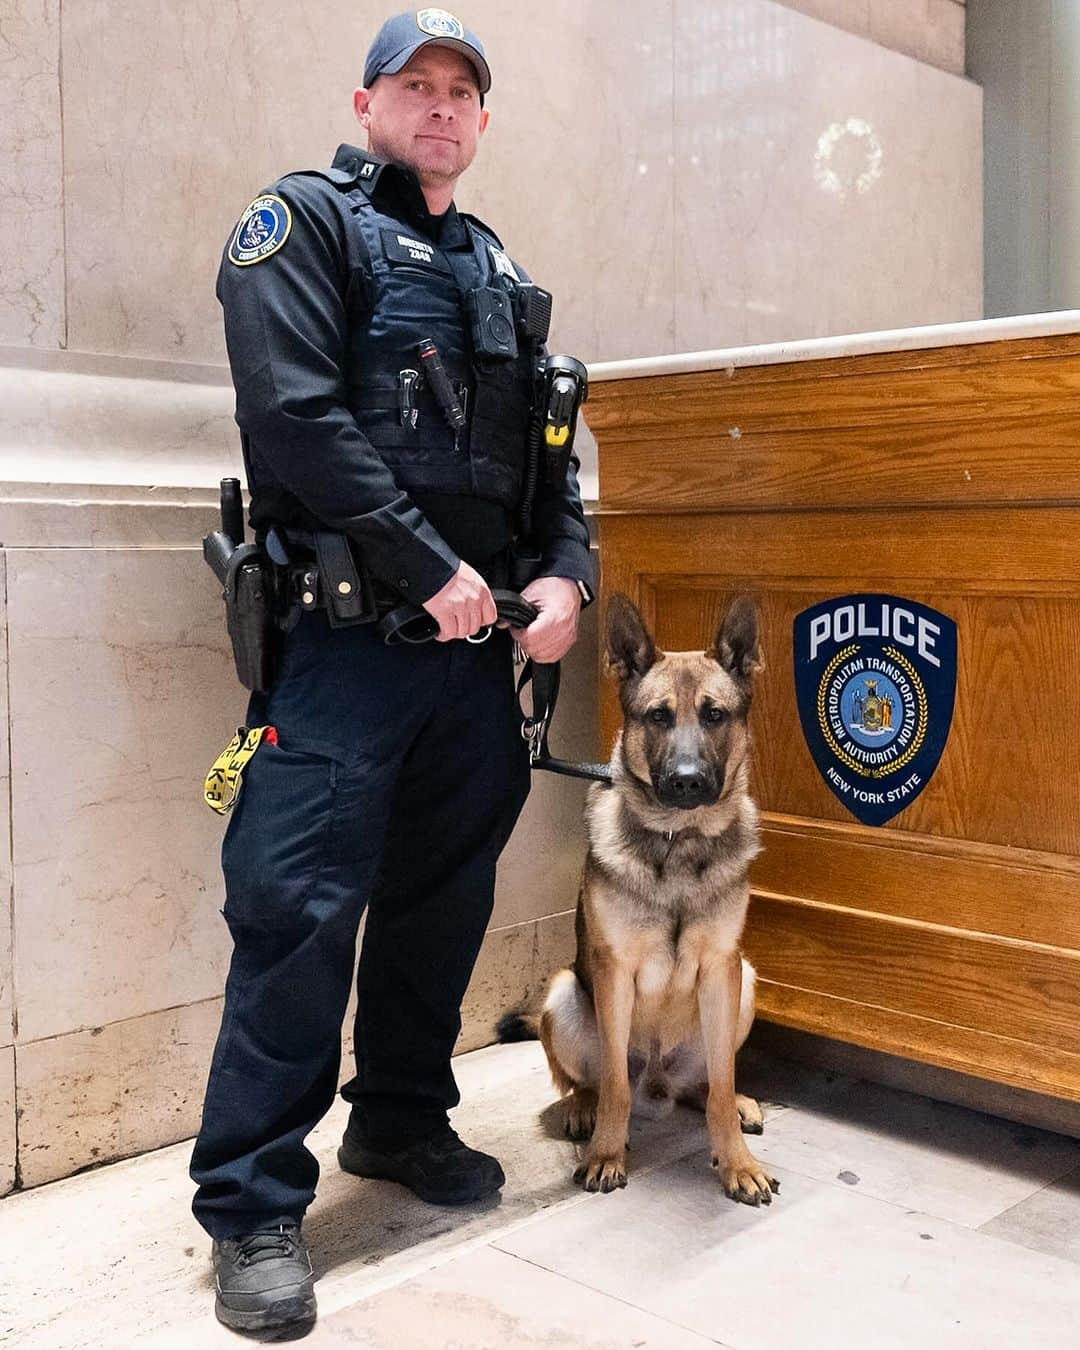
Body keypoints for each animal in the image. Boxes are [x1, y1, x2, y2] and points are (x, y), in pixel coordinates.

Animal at [499, 596, 777, 1209]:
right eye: (657, 717)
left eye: (715, 715)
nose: (688, 782)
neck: (679, 840)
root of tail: (659, 1082)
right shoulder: (613, 974)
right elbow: (613, 1090)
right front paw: (605, 1153)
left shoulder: (722, 969)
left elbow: (721, 1087)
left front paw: (736, 1163)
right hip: (566, 994)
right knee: (591, 1081)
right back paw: (583, 1110)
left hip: (743, 983)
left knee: (706, 1084)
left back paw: (736, 1103)